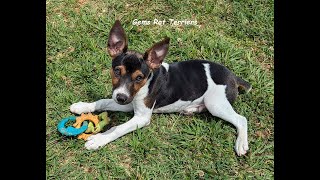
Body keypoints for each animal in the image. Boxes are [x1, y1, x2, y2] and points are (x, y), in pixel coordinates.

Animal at [70, 19, 252, 155]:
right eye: (116, 71)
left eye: (139, 77)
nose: (121, 97)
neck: (145, 83)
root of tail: (232, 75)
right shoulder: (129, 103)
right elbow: (103, 101)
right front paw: (82, 106)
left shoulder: (141, 116)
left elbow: (117, 128)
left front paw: (99, 139)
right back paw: (192, 109)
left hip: (216, 104)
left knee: (241, 119)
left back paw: (241, 144)